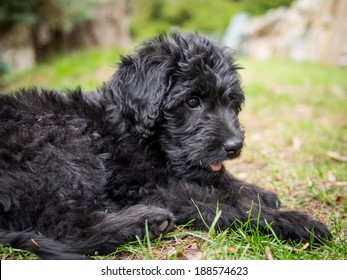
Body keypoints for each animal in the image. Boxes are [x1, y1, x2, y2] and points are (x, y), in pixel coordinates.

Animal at [0, 31, 332, 260]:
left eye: (232, 103)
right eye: (193, 101)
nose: (234, 145)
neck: (130, 128)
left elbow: (220, 179)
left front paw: (259, 191)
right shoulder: (147, 186)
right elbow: (222, 201)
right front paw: (293, 221)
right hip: (64, 146)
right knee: (61, 226)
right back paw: (147, 222)